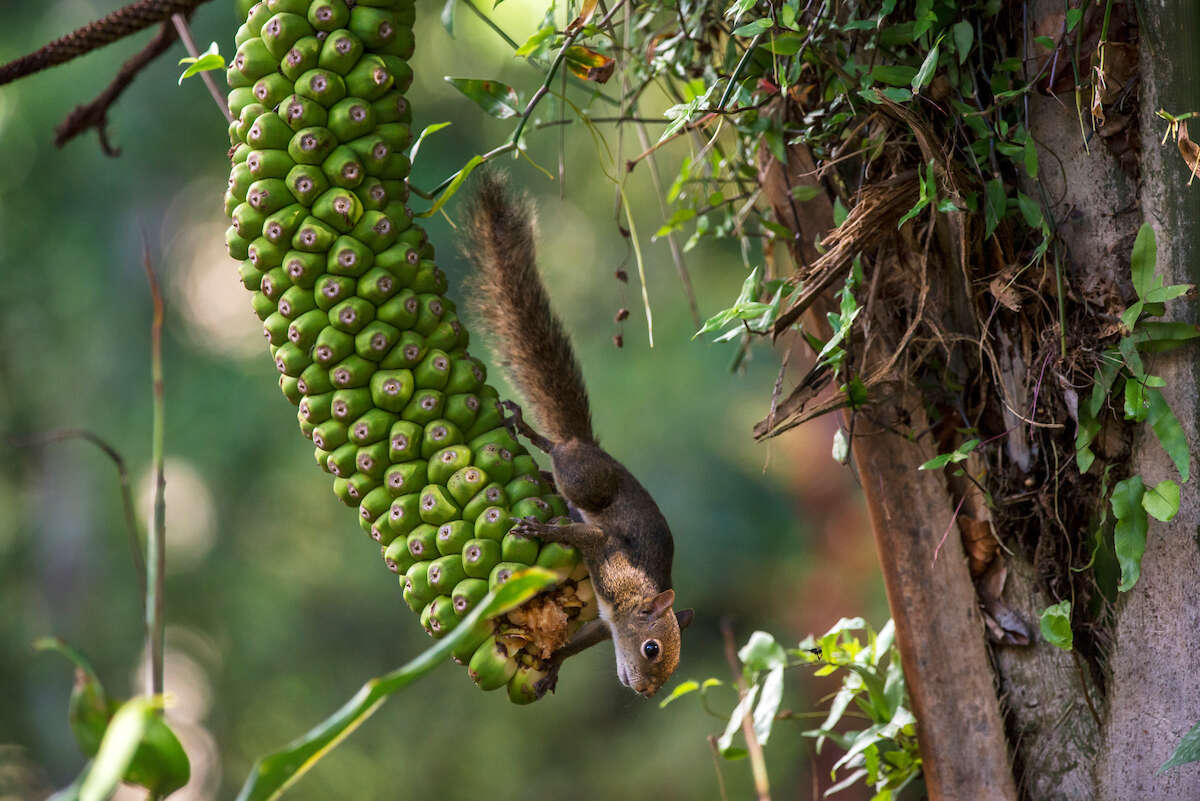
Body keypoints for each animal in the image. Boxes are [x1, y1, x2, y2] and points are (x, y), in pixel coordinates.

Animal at [460, 173, 696, 695]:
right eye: (652, 648)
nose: (646, 691)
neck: (634, 600)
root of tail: (594, 448)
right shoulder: (609, 558)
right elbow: (583, 536)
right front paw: (540, 530)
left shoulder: (604, 624)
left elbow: (579, 639)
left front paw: (554, 663)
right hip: (586, 477)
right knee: (561, 453)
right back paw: (533, 433)